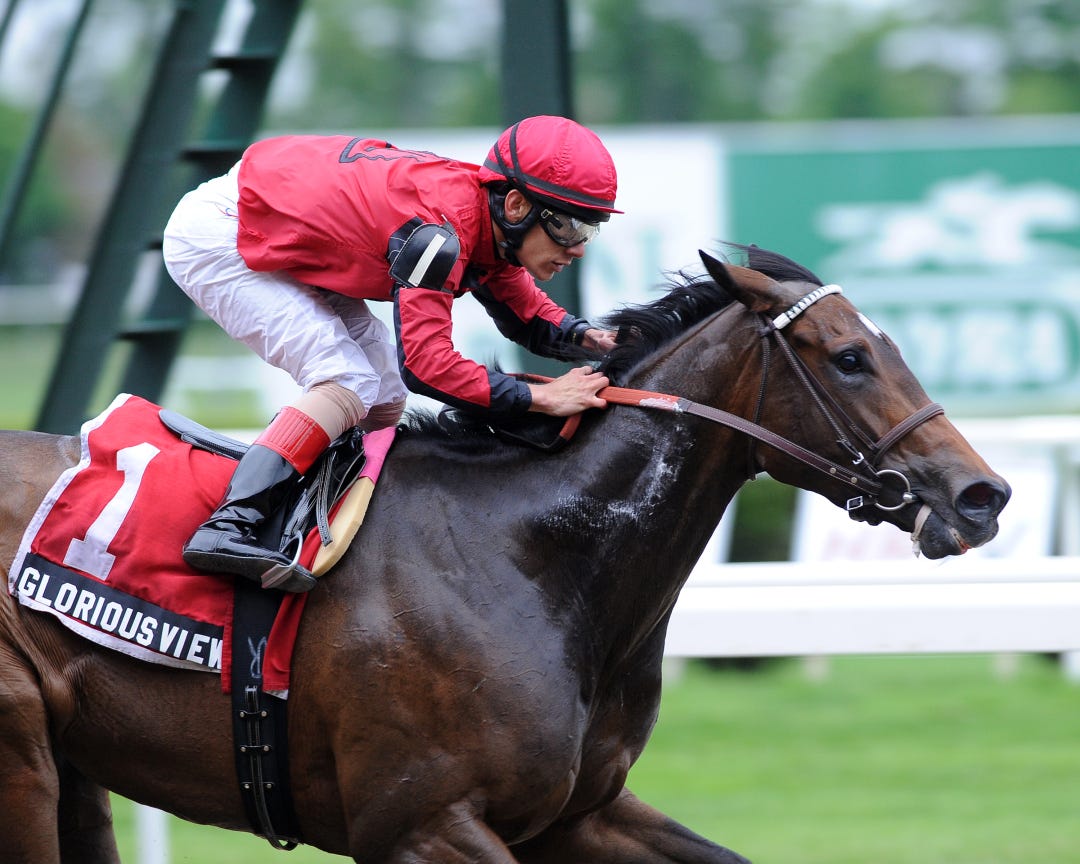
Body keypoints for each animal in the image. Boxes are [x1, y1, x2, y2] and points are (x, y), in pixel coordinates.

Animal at [0, 245, 1009, 863]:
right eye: (849, 358)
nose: (982, 495)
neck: (531, 559)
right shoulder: (422, 824)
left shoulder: (575, 816)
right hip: (22, 753)